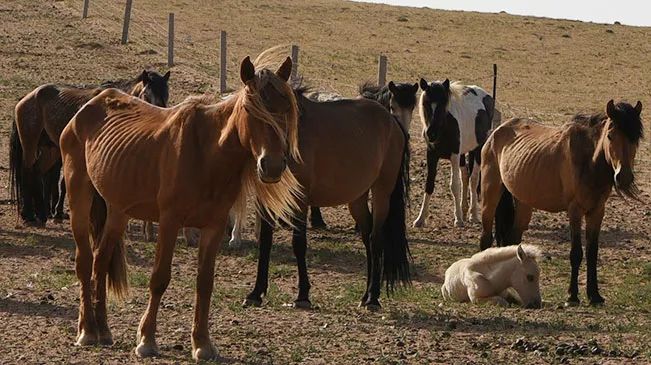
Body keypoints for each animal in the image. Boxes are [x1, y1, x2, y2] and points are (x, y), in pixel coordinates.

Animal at [8, 69, 171, 225]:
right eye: (146, 95)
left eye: (166, 96)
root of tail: (27, 97)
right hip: (31, 144)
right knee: (27, 172)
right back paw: (29, 215)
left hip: (51, 150)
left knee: (37, 172)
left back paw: (41, 214)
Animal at [59, 55, 302, 360]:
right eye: (250, 109)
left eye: (286, 109)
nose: (272, 166)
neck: (207, 154)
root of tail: (86, 109)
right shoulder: (169, 222)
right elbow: (159, 278)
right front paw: (147, 340)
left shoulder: (214, 227)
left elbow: (205, 283)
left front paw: (202, 344)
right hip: (79, 196)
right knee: (84, 262)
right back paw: (87, 331)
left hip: (117, 212)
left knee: (100, 261)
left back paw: (103, 329)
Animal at [244, 85, 412, 310]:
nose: (270, 166)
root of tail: (392, 120)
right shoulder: (266, 201)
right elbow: (265, 242)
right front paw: (256, 293)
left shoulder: (300, 200)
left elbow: (299, 244)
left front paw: (303, 295)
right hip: (357, 199)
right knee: (367, 238)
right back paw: (365, 295)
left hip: (381, 193)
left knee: (376, 240)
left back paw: (373, 298)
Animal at [416, 79, 496, 228]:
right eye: (426, 103)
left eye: (443, 104)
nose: (431, 134)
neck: (444, 128)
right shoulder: (431, 154)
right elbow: (429, 185)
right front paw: (420, 219)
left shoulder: (454, 155)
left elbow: (454, 186)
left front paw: (458, 219)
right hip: (463, 153)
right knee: (465, 176)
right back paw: (464, 210)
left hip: (478, 149)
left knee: (473, 179)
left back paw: (473, 215)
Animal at [482, 99, 644, 304]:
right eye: (610, 135)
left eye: (635, 138)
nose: (624, 177)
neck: (589, 163)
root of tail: (496, 131)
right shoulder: (575, 210)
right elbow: (576, 253)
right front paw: (572, 296)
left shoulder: (597, 211)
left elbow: (592, 253)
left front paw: (594, 295)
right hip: (490, 194)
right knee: (486, 238)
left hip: (523, 203)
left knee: (513, 239)